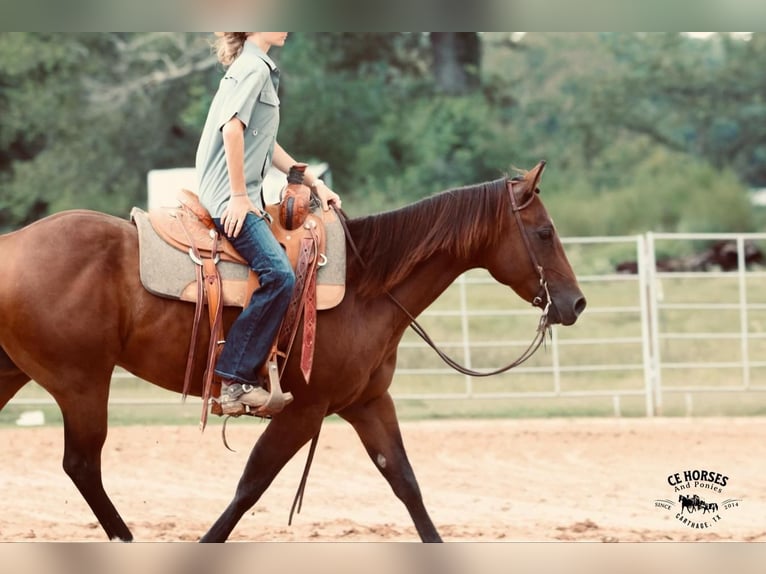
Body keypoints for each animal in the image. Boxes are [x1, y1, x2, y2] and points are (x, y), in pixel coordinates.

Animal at [1, 162, 588, 544]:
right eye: (544, 231)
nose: (576, 302)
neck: (369, 288)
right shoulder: (304, 410)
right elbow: (251, 485)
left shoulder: (367, 403)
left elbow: (405, 481)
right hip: (81, 384)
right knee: (82, 465)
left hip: (16, 374)